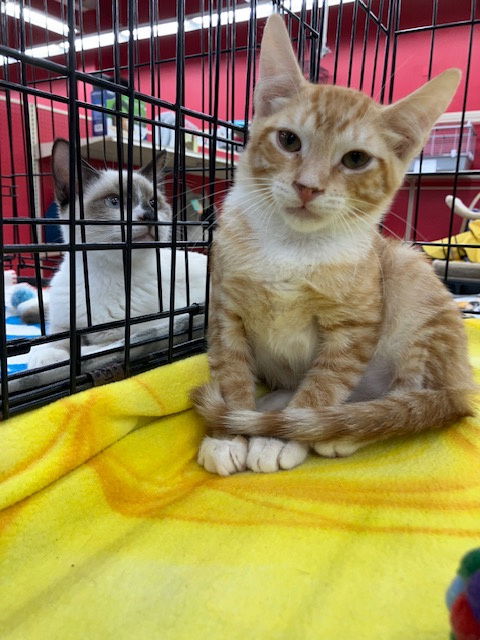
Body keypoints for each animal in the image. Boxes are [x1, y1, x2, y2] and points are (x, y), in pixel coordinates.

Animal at [27, 138, 207, 371]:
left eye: (153, 203)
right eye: (114, 201)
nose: (150, 215)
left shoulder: (139, 331)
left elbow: (94, 351)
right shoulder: (61, 325)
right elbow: (50, 342)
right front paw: (48, 358)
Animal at [191, 14, 475, 476]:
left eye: (356, 159)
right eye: (288, 140)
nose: (308, 186)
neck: (291, 247)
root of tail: (463, 383)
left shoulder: (353, 327)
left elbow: (324, 384)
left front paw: (276, 438)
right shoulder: (224, 310)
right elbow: (230, 373)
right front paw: (226, 435)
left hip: (410, 278)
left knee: (414, 404)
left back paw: (343, 429)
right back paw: (273, 406)